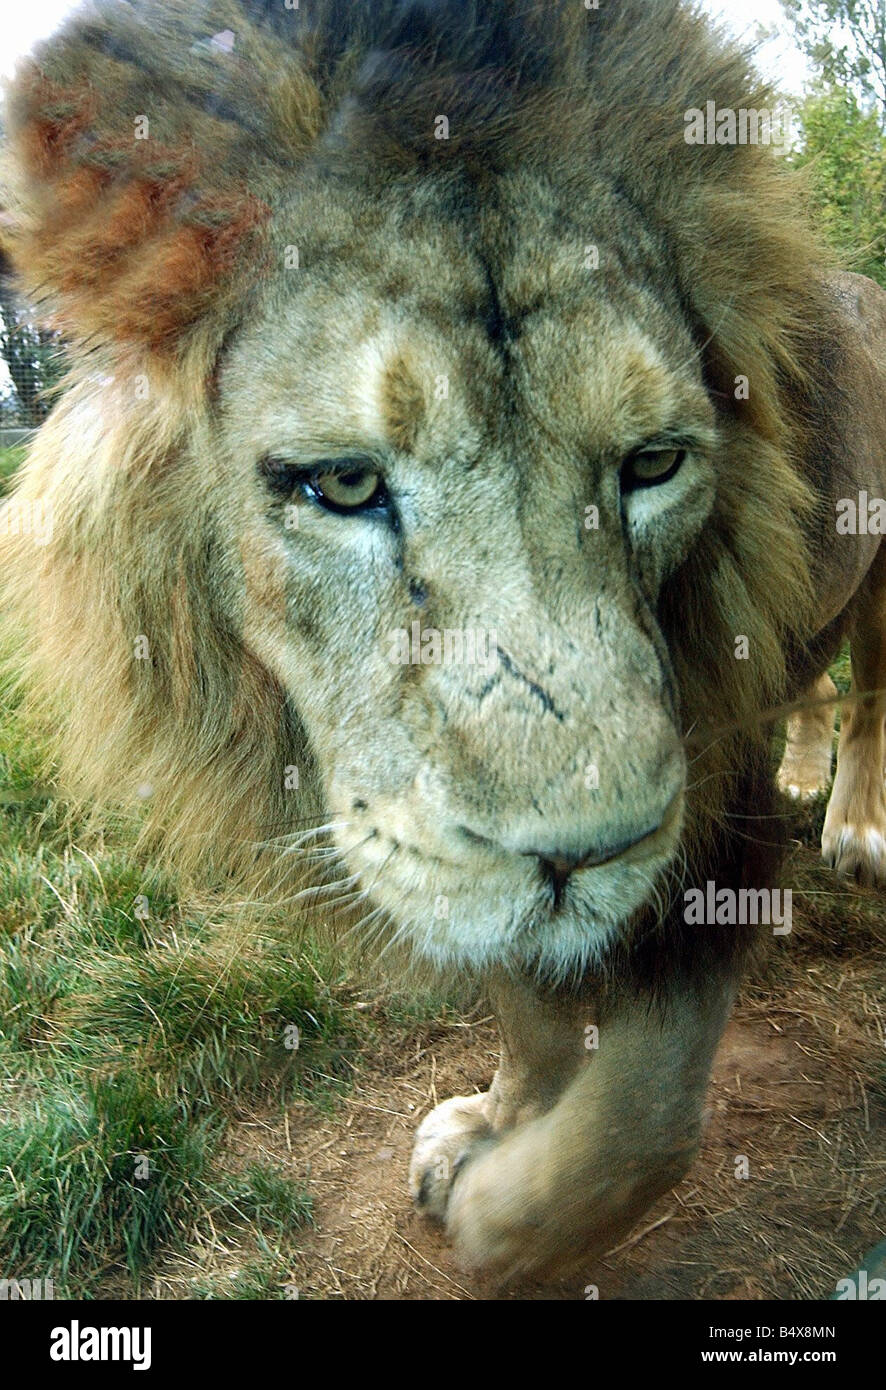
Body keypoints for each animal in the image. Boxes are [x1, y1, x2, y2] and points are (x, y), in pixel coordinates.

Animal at [1, 0, 884, 1278]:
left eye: (654, 462)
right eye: (343, 482)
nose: (588, 855)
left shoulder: (713, 793)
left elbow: (644, 1113)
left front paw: (506, 1218)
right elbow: (527, 995)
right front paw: (501, 1114)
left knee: (870, 691)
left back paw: (854, 820)